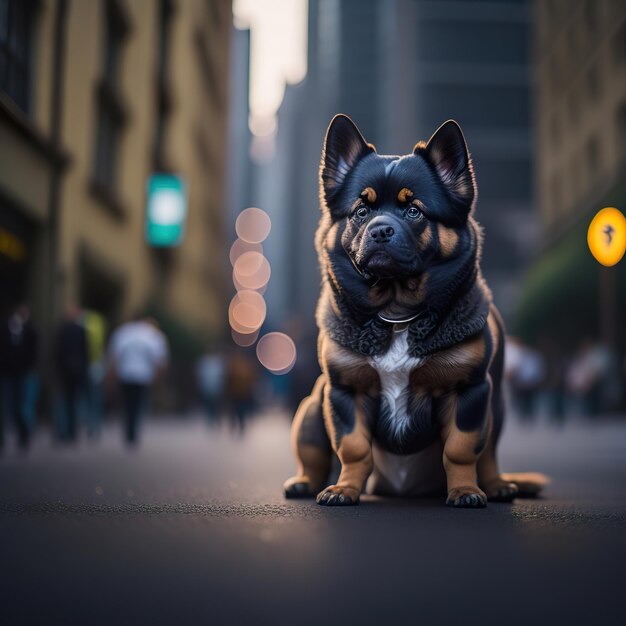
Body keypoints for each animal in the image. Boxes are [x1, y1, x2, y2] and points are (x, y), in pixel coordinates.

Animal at [280, 114, 544, 508]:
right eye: (361, 211)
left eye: (413, 210)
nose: (379, 230)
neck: (396, 310)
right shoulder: (344, 392)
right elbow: (353, 448)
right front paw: (344, 488)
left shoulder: (470, 393)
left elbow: (461, 449)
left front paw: (465, 490)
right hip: (312, 407)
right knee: (314, 455)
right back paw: (306, 483)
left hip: (495, 410)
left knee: (489, 454)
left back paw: (496, 485)